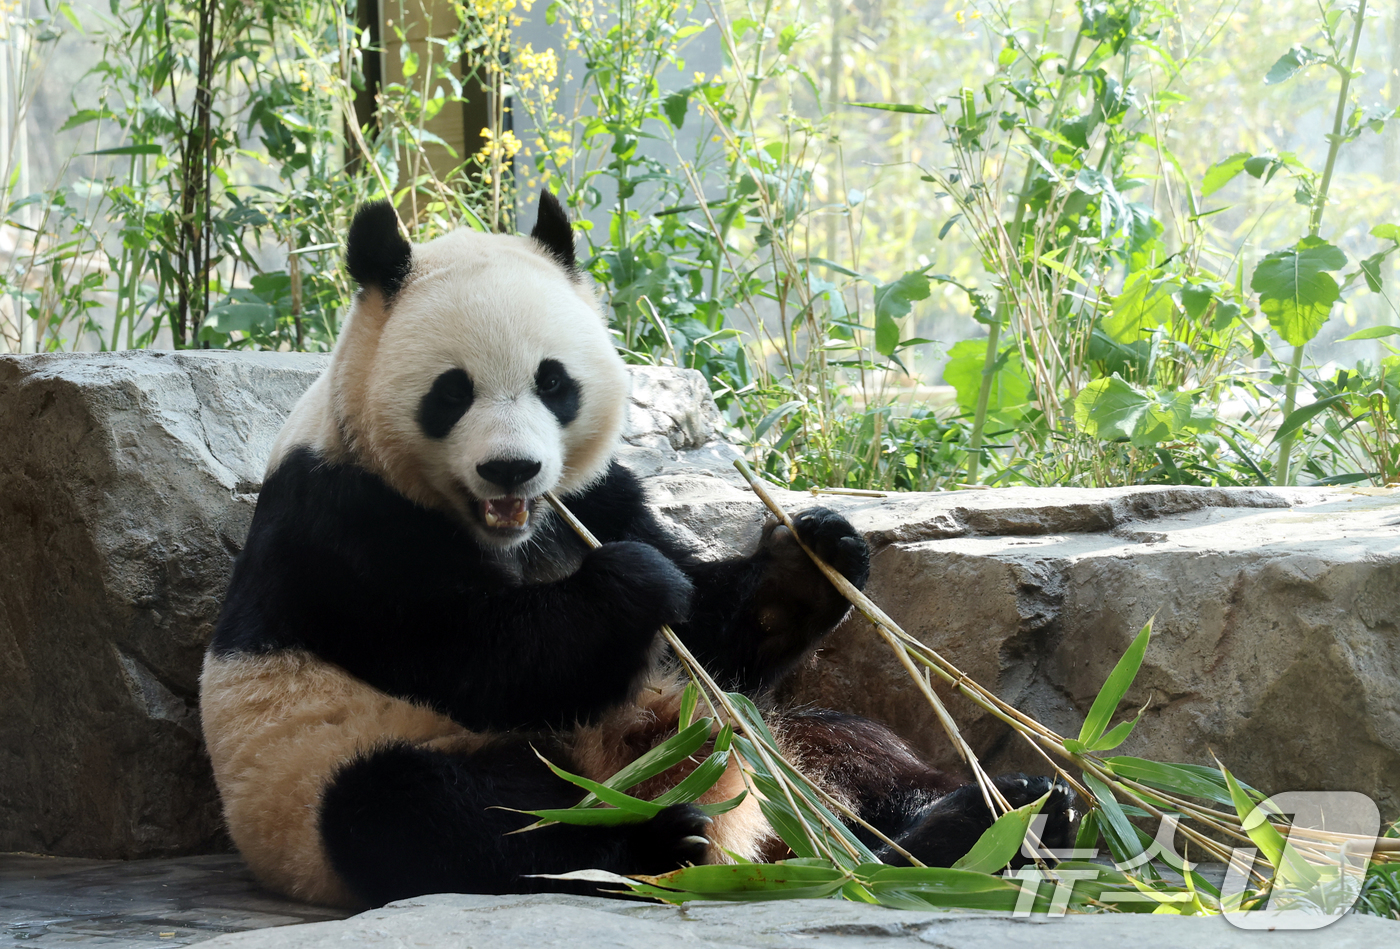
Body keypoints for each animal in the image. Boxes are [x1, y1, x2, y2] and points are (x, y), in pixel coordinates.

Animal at [199, 190, 1077, 910]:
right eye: (452, 391)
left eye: (553, 382)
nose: (512, 467)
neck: (513, 530)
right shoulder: (342, 524)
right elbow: (475, 653)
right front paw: (627, 585)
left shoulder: (596, 495)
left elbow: (712, 636)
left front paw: (814, 552)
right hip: (349, 779)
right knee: (428, 814)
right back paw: (657, 840)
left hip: (763, 736)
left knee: (846, 750)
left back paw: (994, 816)